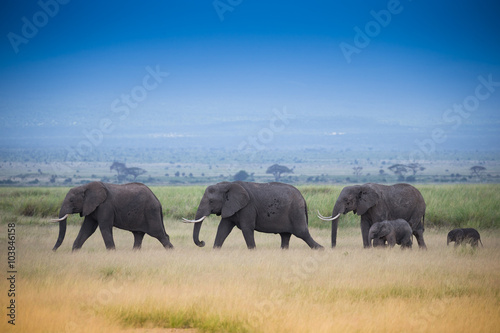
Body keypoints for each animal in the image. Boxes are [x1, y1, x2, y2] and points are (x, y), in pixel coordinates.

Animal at [182, 180, 322, 248]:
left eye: (211, 201)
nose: (202, 242)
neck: (227, 185)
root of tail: (303, 198)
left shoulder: (247, 207)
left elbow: (247, 228)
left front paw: (253, 251)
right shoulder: (230, 206)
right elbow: (223, 229)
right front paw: (215, 250)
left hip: (295, 211)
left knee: (302, 233)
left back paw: (321, 249)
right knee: (285, 236)